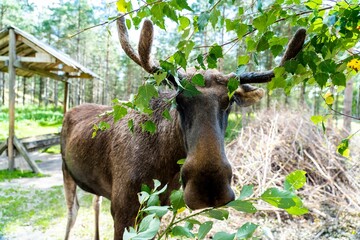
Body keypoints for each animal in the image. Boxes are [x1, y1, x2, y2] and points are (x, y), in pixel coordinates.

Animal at [59, 15, 306, 240]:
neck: (165, 165)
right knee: (72, 212)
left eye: (231, 100)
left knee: (94, 202)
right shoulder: (123, 210)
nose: (209, 187)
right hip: (66, 171)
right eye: (178, 98)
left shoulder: (157, 208)